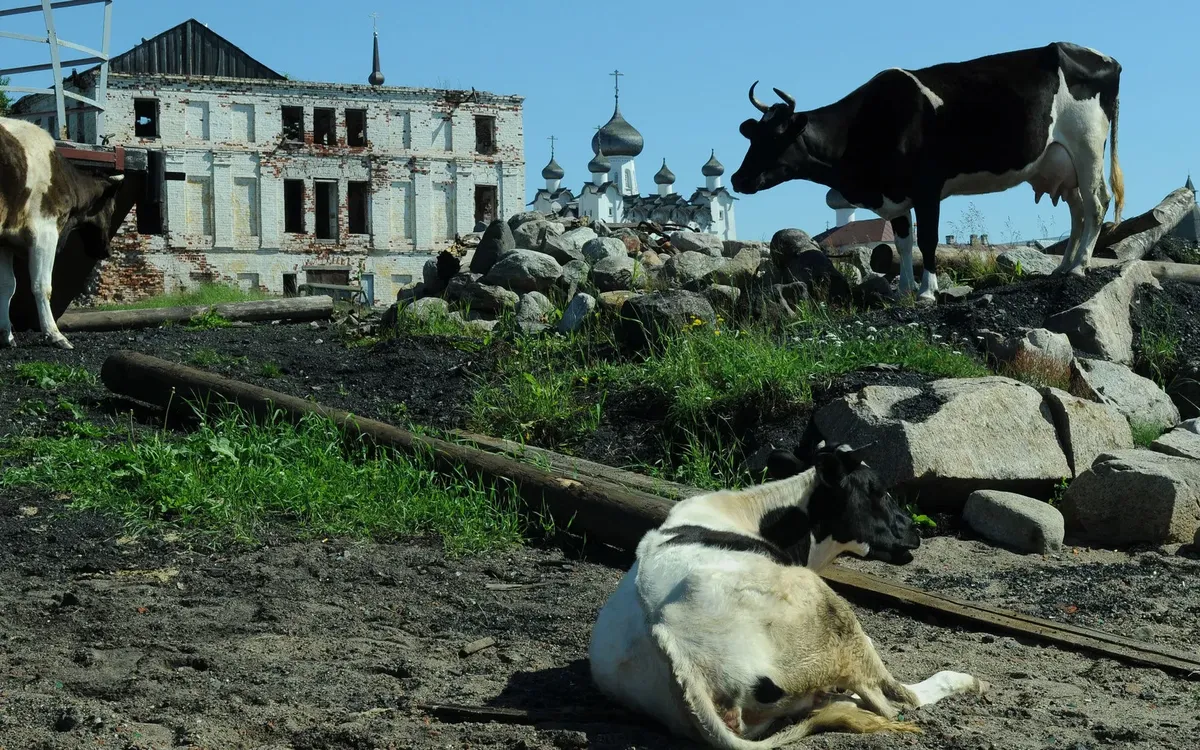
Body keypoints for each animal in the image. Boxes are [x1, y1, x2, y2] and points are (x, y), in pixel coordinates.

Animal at [1, 115, 125, 350]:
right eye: (113, 208)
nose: (107, 251)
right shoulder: (45, 232)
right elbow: (42, 285)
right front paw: (54, 334)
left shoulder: (4, 241)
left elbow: (7, 286)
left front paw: (6, 335)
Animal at [585, 441, 988, 744]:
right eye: (878, 490)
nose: (915, 532)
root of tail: (667, 637)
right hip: (830, 611)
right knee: (896, 699)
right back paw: (967, 680)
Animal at [729, 41, 1123, 301]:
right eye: (754, 136)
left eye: (776, 137)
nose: (737, 179)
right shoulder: (897, 194)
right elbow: (903, 242)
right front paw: (903, 289)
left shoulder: (928, 188)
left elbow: (928, 240)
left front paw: (927, 292)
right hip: (1063, 164)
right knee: (1078, 210)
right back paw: (1063, 266)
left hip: (1088, 147)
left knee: (1096, 205)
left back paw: (1080, 265)